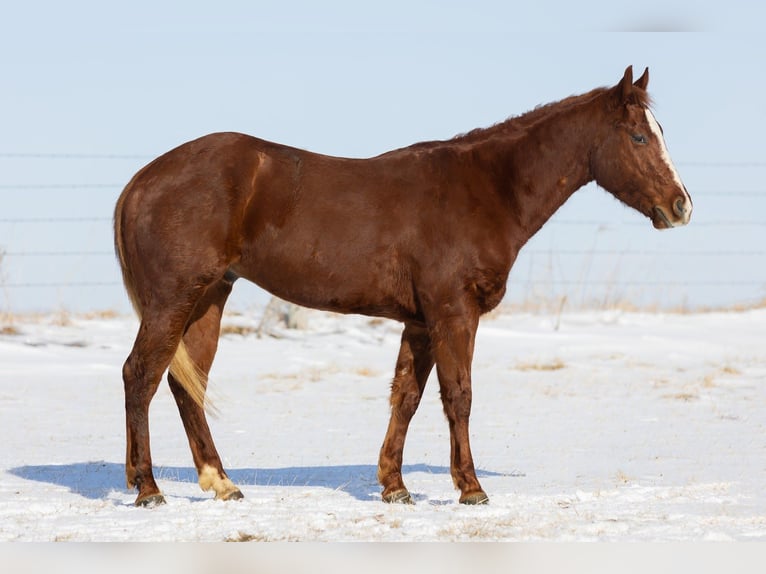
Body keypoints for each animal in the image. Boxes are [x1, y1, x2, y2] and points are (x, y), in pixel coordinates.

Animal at [114, 66, 692, 507]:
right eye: (639, 136)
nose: (681, 206)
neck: (485, 188)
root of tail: (141, 182)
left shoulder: (419, 322)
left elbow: (406, 398)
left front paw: (395, 487)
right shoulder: (453, 314)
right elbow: (458, 396)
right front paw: (471, 488)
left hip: (208, 299)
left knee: (186, 385)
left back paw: (221, 482)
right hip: (173, 301)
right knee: (140, 376)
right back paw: (148, 489)